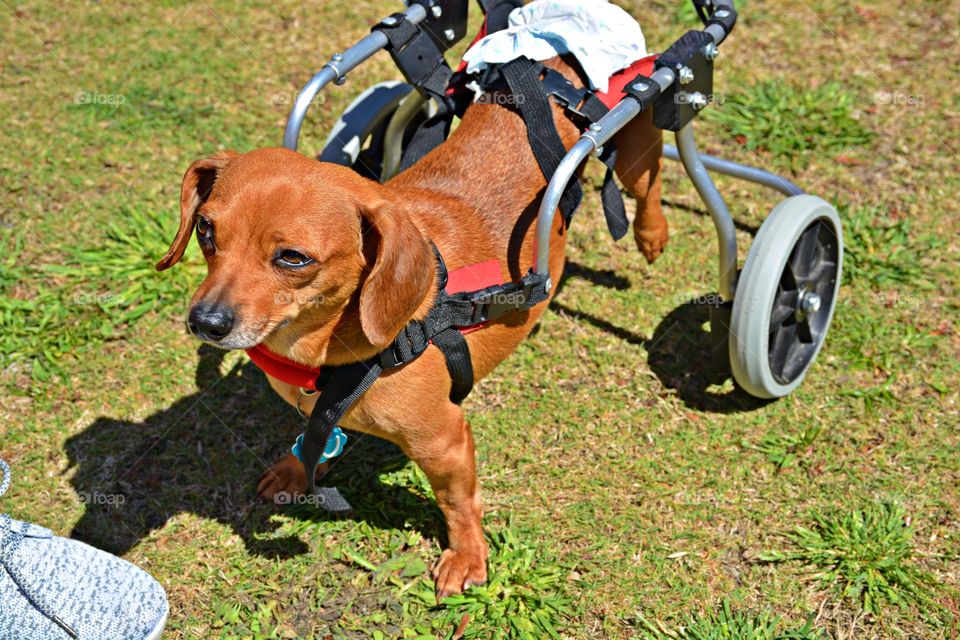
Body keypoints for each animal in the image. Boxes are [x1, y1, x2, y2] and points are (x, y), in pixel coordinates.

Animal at [159, 57, 668, 596]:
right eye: (206, 230)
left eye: (293, 257)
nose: (206, 322)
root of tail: (547, 59)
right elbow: (311, 440)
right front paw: (298, 469)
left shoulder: (445, 442)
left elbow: (458, 504)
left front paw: (466, 556)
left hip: (635, 151)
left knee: (651, 184)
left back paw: (652, 233)